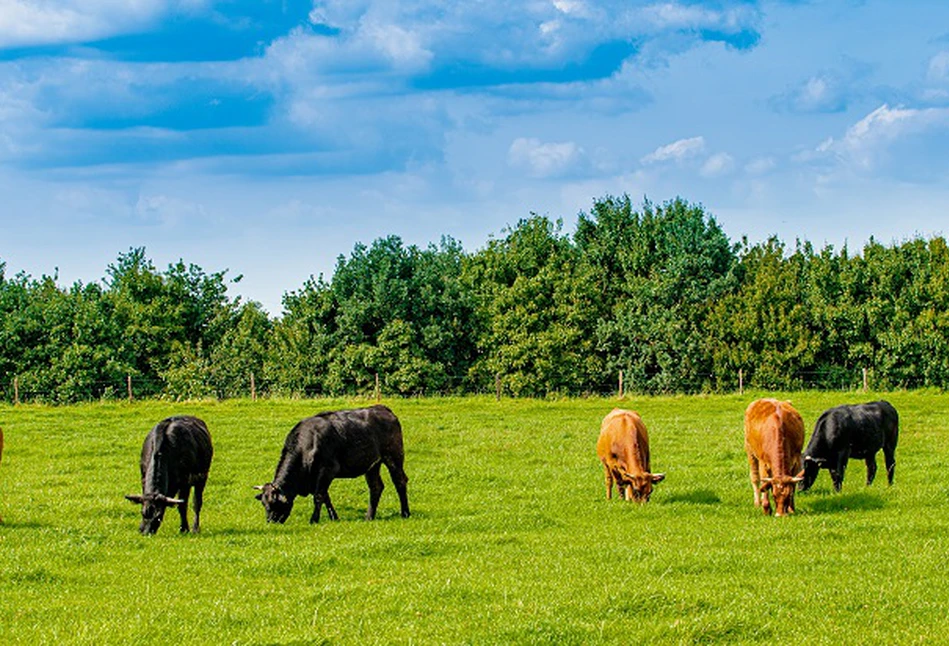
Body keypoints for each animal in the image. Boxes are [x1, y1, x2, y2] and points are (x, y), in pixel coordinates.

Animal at [254, 404, 410, 528]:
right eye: (263, 504)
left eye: (274, 503)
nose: (270, 522)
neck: (308, 444)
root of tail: (382, 408)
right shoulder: (317, 477)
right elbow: (325, 497)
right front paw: (334, 517)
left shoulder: (327, 470)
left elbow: (319, 496)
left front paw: (314, 520)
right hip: (372, 465)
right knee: (376, 487)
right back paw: (369, 516)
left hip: (393, 456)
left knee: (400, 481)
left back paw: (405, 513)